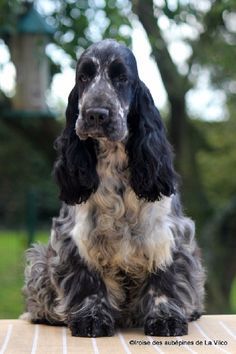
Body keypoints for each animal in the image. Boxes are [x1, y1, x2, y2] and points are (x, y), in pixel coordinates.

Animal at [22, 38, 205, 338]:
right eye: (83, 77)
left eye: (121, 78)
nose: (96, 114)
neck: (114, 161)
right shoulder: (75, 238)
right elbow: (89, 281)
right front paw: (91, 319)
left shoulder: (169, 234)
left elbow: (164, 278)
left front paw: (166, 319)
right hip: (40, 259)